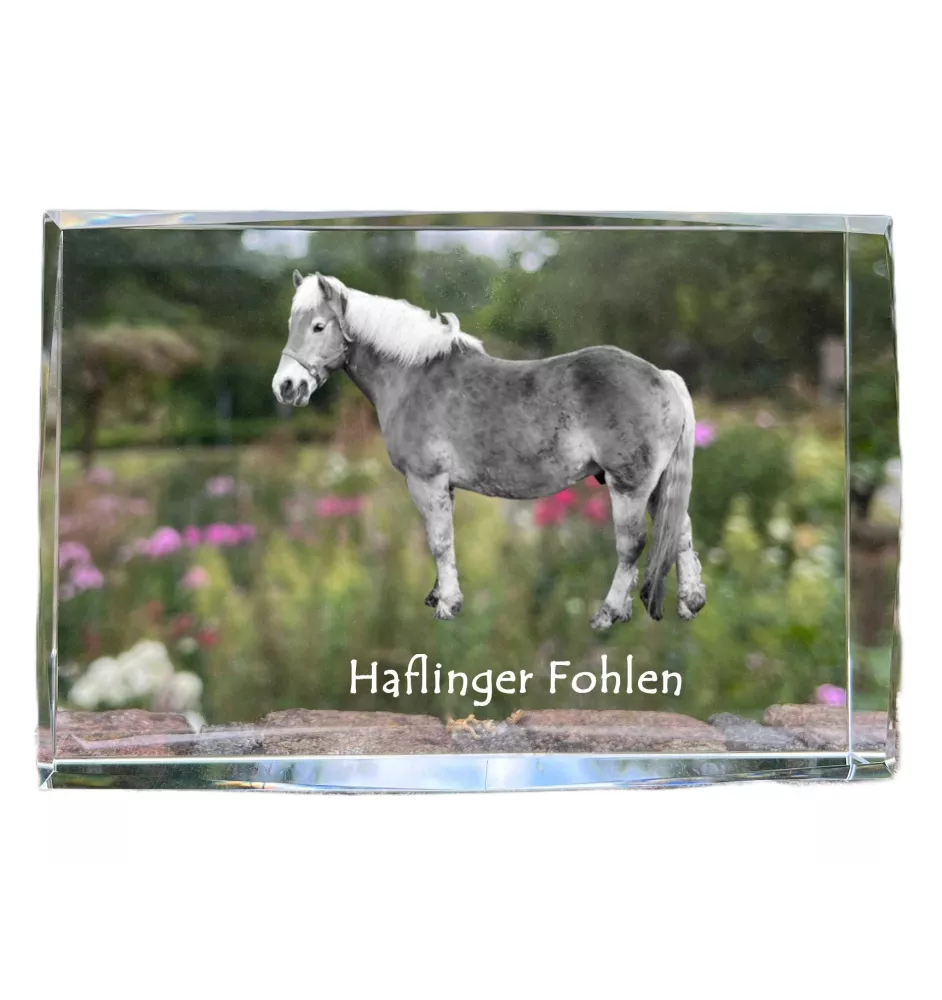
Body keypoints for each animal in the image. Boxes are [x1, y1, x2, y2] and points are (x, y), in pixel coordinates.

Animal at [272, 271, 706, 631]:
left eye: (318, 326)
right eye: (292, 325)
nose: (286, 387)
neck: (414, 377)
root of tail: (662, 376)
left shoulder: (425, 479)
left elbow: (439, 540)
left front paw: (448, 605)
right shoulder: (442, 486)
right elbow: (443, 536)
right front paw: (439, 594)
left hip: (630, 485)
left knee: (632, 544)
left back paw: (609, 613)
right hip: (657, 484)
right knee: (681, 531)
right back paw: (690, 603)